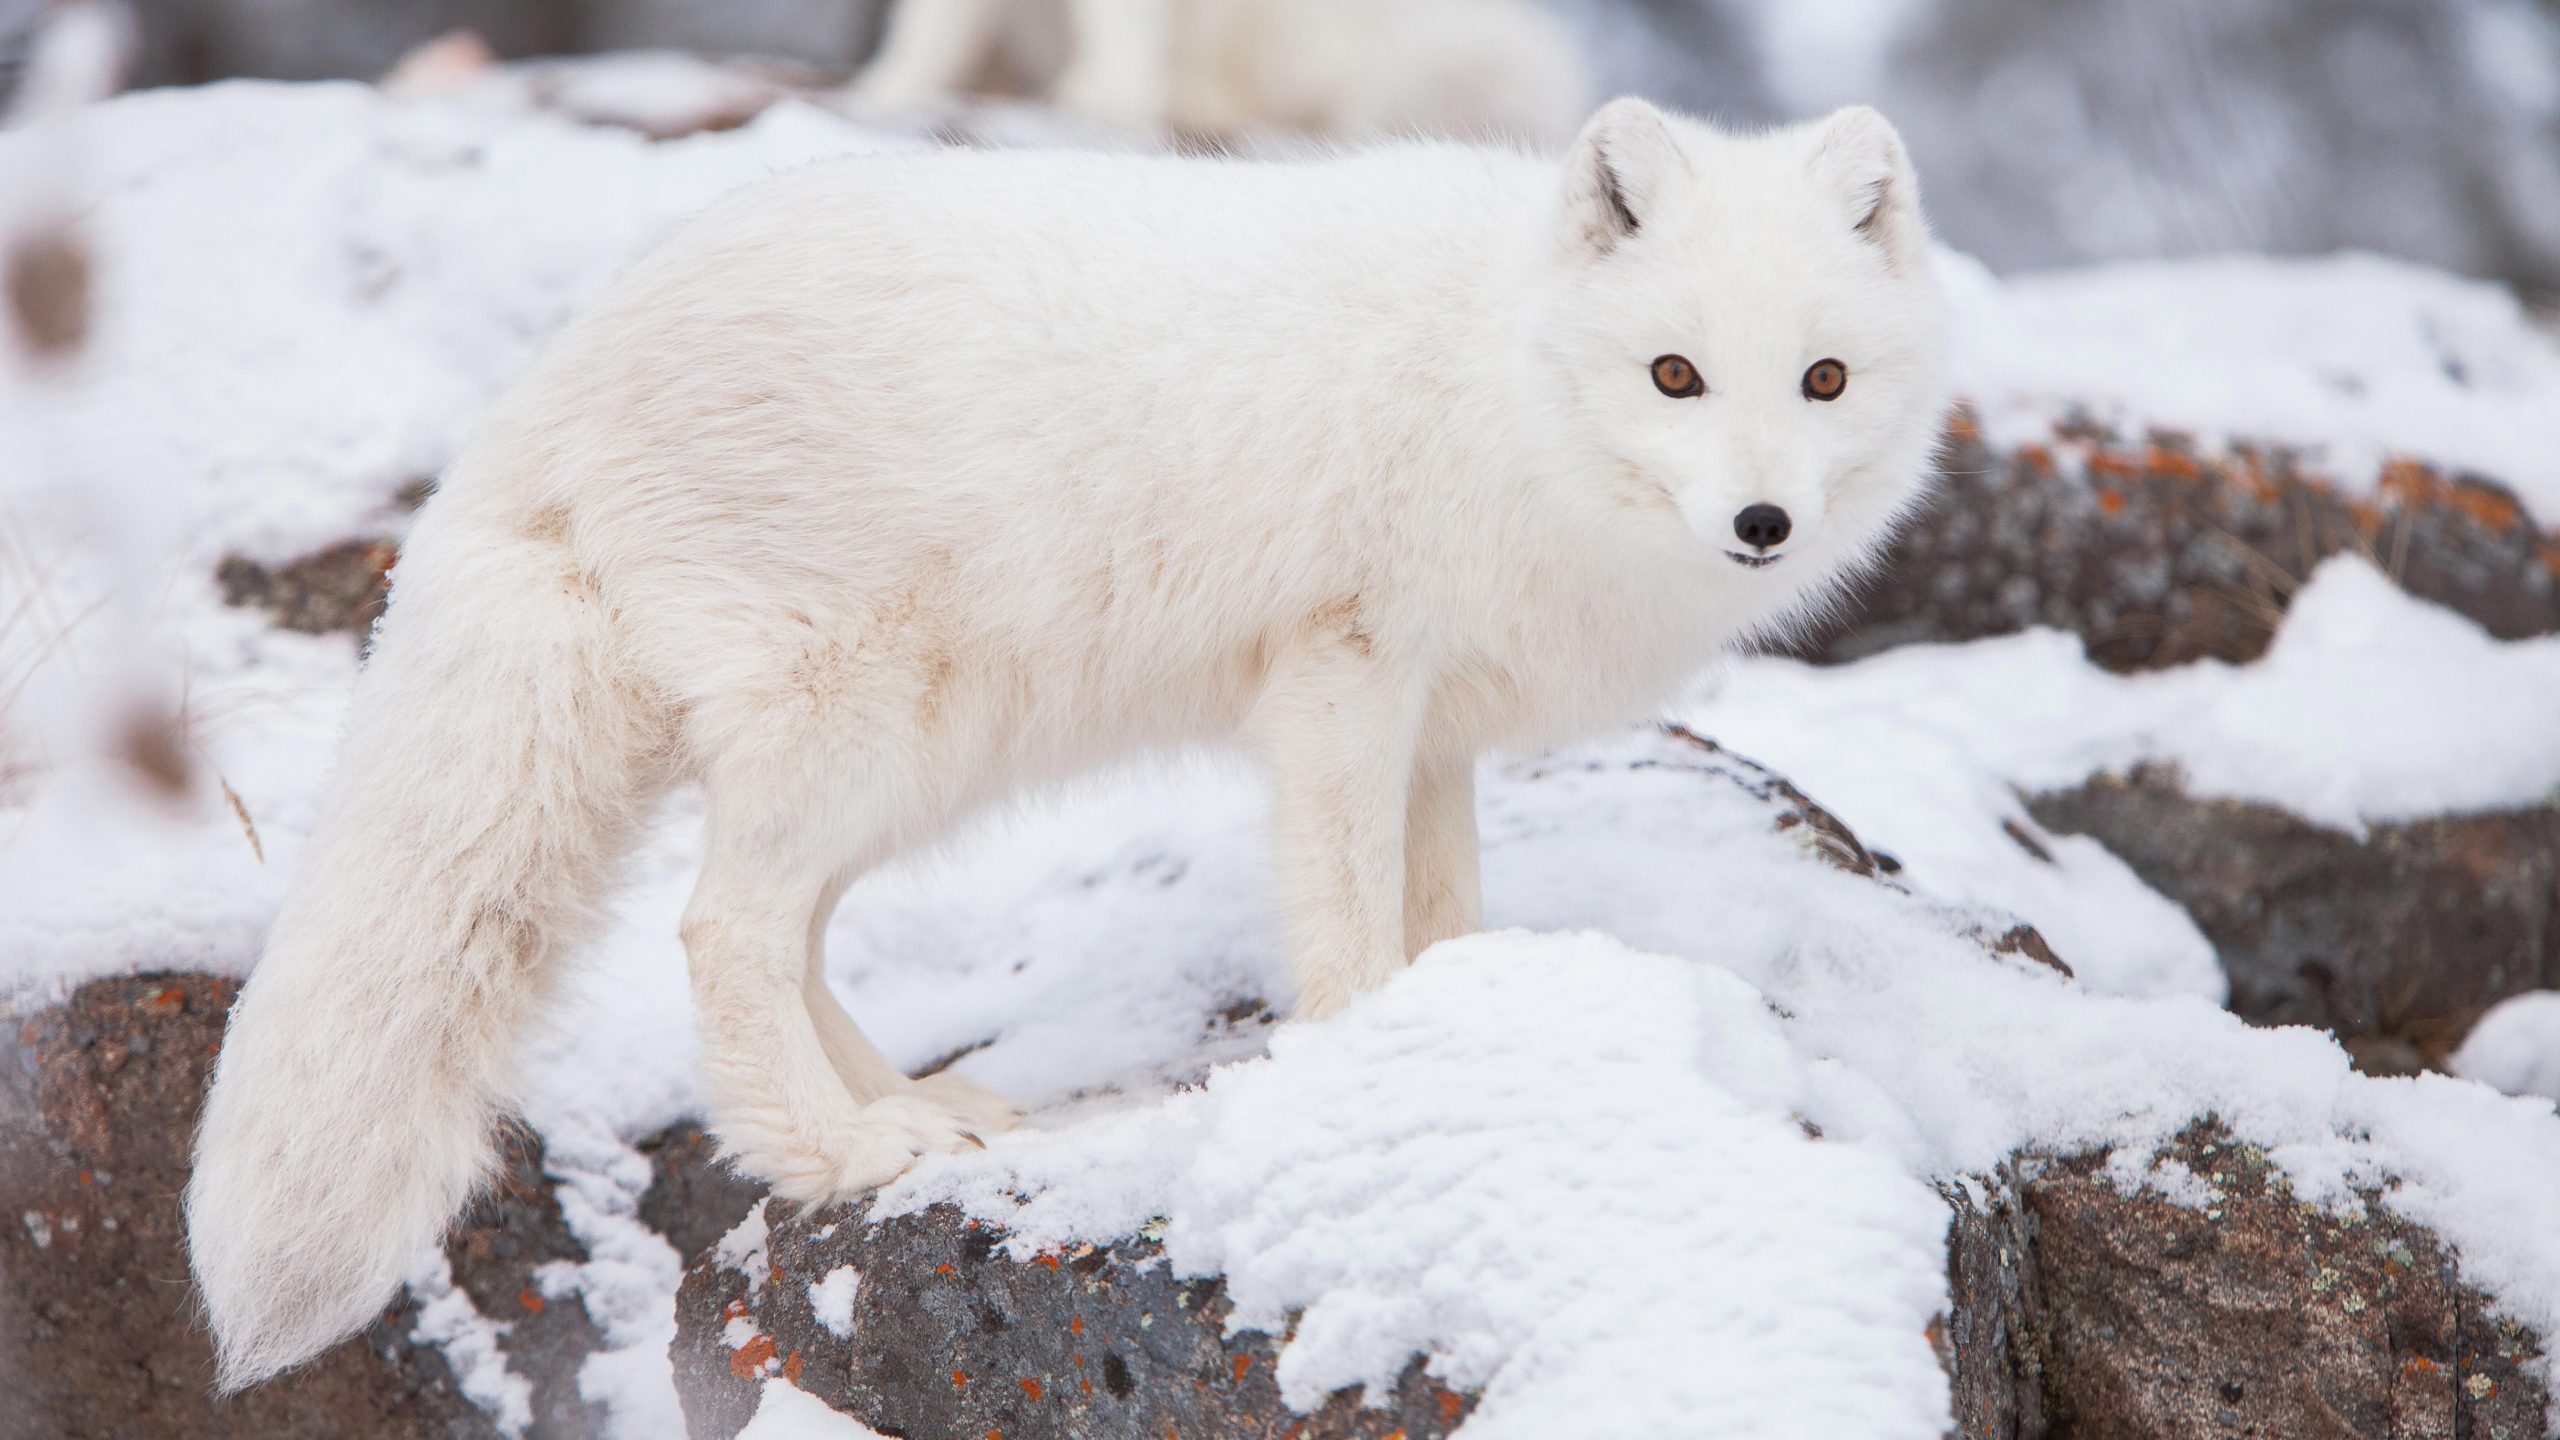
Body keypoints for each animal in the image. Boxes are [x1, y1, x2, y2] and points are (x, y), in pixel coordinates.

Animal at [185, 98, 1935, 1383]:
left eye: (1823, 378)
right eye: (1675, 375)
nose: (1764, 525)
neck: (1494, 383)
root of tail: (549, 383)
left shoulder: (1434, 732)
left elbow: (1444, 913)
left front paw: (1472, 1026)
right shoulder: (1343, 680)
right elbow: (1352, 925)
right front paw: (1368, 1066)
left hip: (915, 760)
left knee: (788, 937)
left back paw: (928, 1114)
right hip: (860, 728)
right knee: (723, 931)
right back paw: (837, 1155)